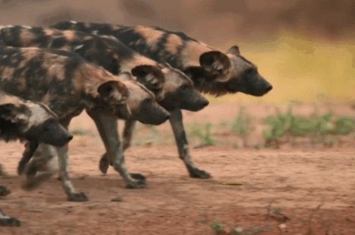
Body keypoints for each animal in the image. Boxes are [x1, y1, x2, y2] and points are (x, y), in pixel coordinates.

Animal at [0, 25, 210, 178]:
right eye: (184, 88)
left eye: (191, 85)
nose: (205, 102)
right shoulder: (96, 110)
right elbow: (36, 142)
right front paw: (28, 169)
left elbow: (177, 142)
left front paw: (194, 171)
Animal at [0, 46, 168, 200]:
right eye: (147, 101)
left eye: (153, 97)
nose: (166, 115)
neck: (82, 81)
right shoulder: (46, 125)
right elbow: (51, 160)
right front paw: (32, 177)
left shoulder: (68, 125)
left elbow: (113, 155)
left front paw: (71, 193)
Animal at [50, 22, 274, 179]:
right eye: (249, 72)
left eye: (255, 69)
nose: (269, 86)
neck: (181, 54)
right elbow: (124, 140)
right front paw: (109, 162)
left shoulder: (168, 106)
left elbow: (182, 143)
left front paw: (194, 171)